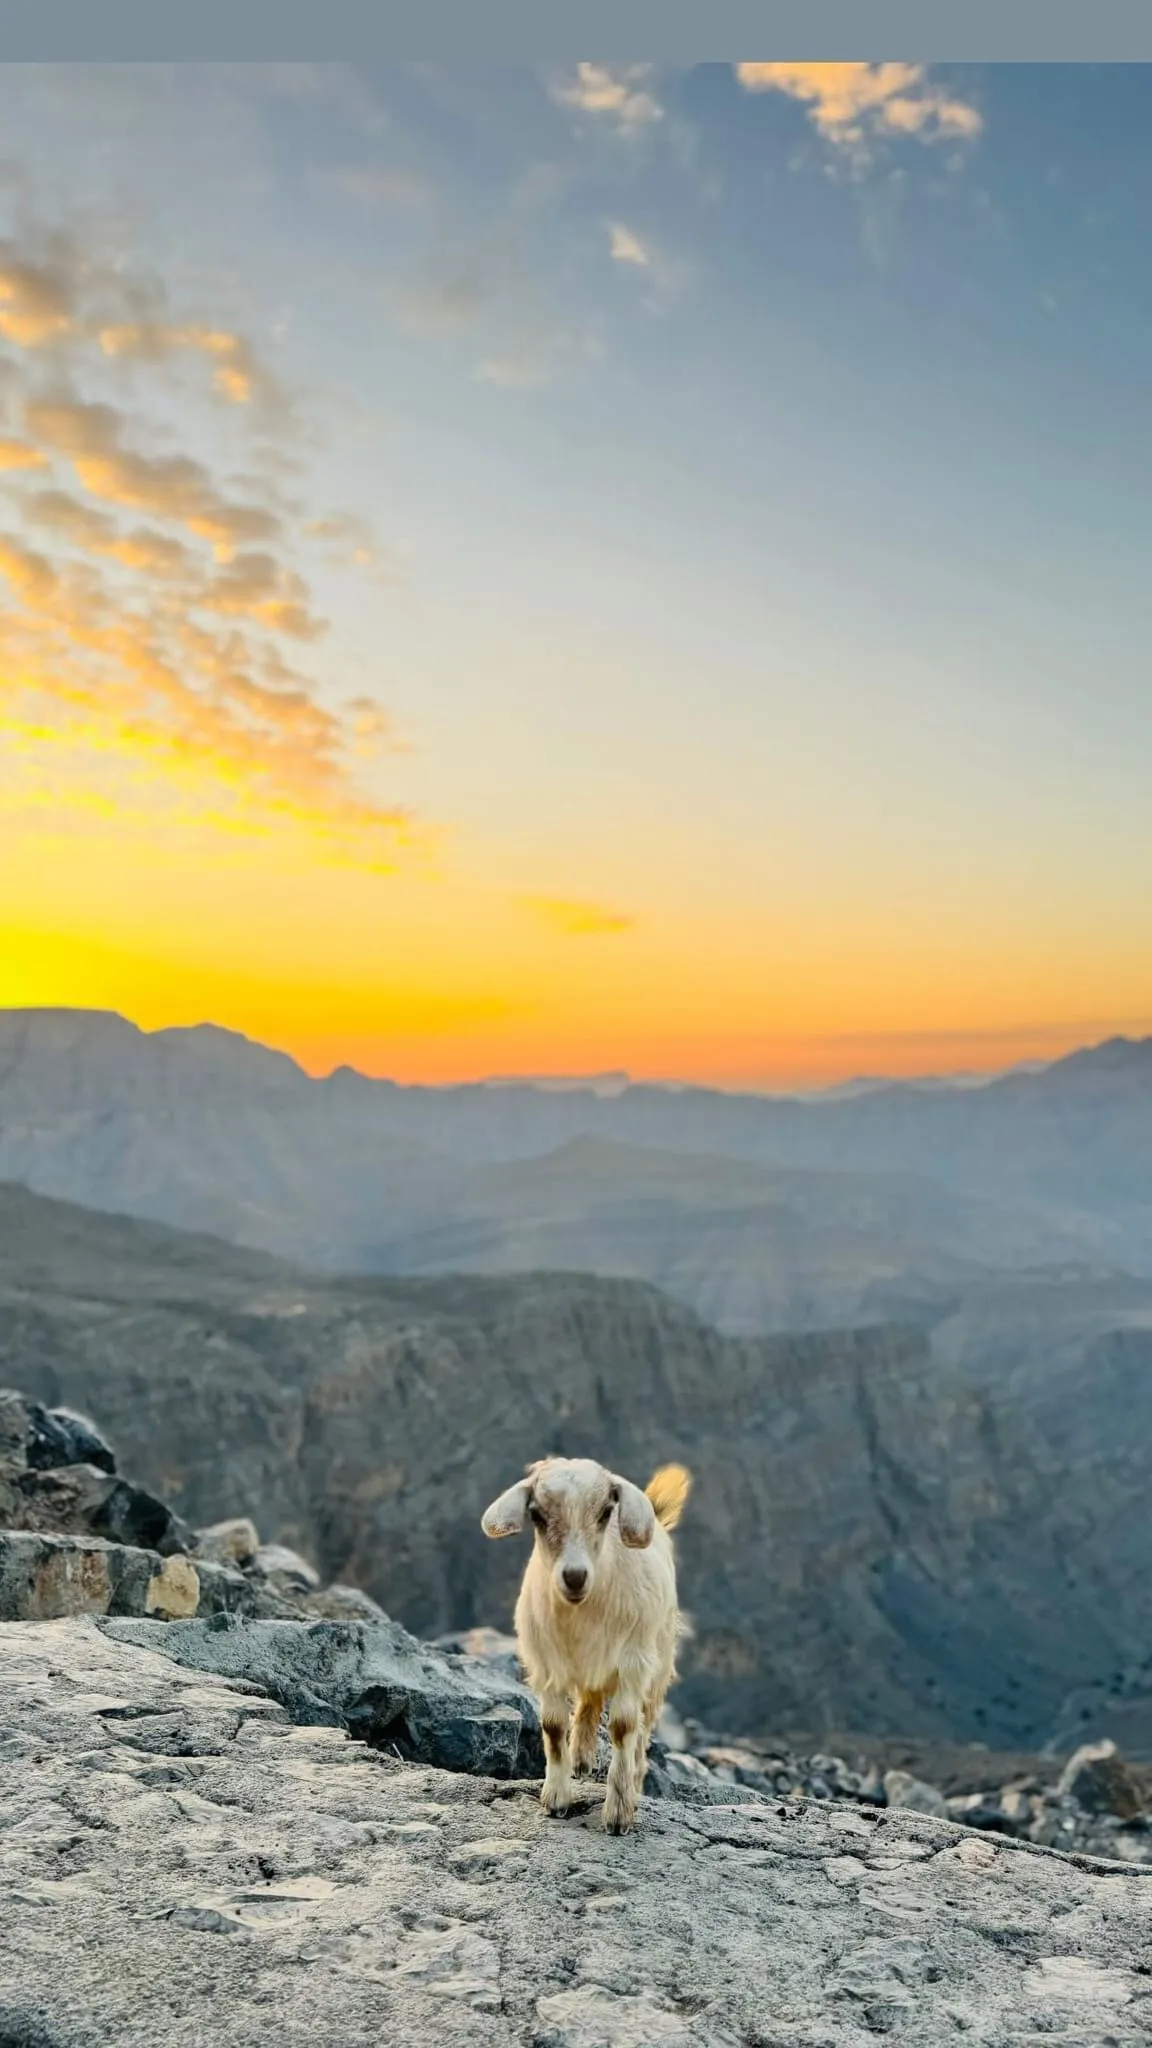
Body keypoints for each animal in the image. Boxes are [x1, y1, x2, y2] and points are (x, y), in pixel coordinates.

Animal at [481, 1456, 691, 1833]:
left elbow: (624, 1727)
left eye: (606, 1512)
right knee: (588, 1702)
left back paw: (634, 1777)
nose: (575, 1576)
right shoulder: (546, 1663)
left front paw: (619, 1814)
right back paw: (580, 1760)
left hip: (658, 1665)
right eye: (537, 1515)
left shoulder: (632, 1662)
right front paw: (555, 1799)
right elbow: (553, 1726)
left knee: (643, 1727)